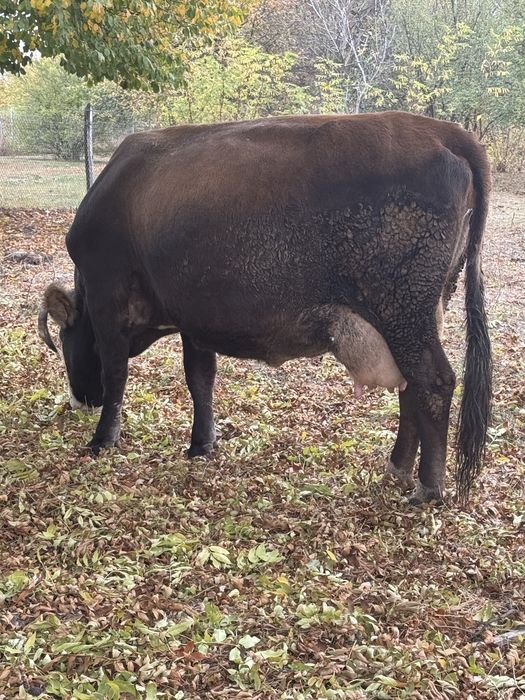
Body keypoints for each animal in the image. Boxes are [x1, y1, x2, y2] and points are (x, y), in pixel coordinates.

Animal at [38, 111, 492, 505]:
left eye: (64, 340)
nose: (79, 400)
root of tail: (440, 129)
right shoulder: (195, 314)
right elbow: (200, 378)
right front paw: (201, 443)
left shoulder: (107, 294)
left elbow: (116, 373)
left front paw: (102, 439)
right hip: (418, 311)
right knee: (411, 387)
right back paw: (398, 466)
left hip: (403, 308)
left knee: (433, 382)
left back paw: (428, 487)